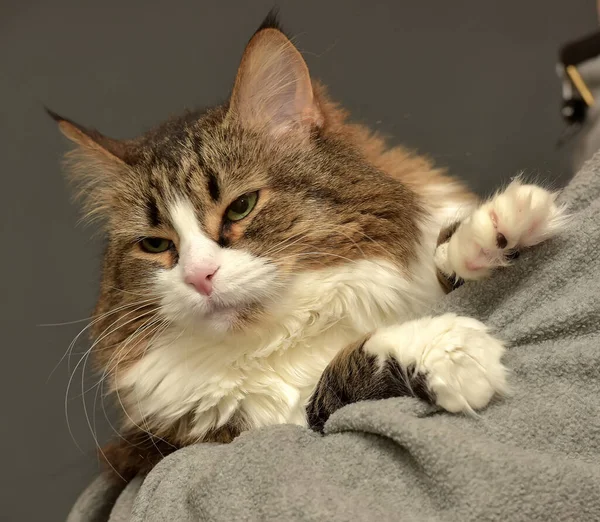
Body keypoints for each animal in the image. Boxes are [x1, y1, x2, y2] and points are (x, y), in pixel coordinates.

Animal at [48, 11, 568, 480]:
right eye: (156, 244)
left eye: (240, 208)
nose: (199, 276)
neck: (286, 333)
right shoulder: (195, 440)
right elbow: (335, 379)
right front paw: (444, 348)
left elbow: (443, 254)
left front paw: (498, 228)